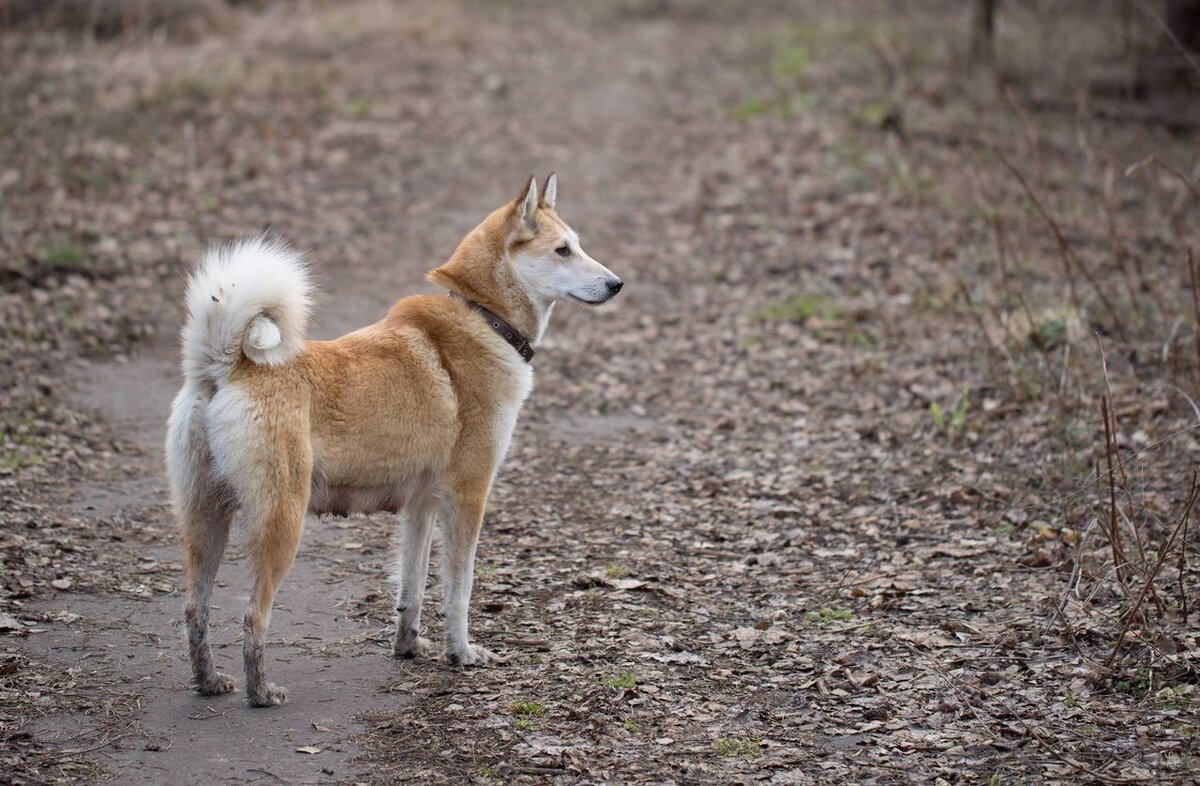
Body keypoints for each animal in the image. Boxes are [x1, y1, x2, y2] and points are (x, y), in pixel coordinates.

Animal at [165, 176, 624, 705]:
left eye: (578, 245)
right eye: (563, 250)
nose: (617, 284)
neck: (483, 316)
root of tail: (226, 365)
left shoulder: (421, 505)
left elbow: (413, 586)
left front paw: (409, 647)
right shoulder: (468, 497)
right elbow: (458, 589)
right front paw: (461, 653)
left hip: (206, 520)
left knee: (194, 609)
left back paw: (209, 681)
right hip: (280, 522)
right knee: (251, 616)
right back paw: (260, 691)